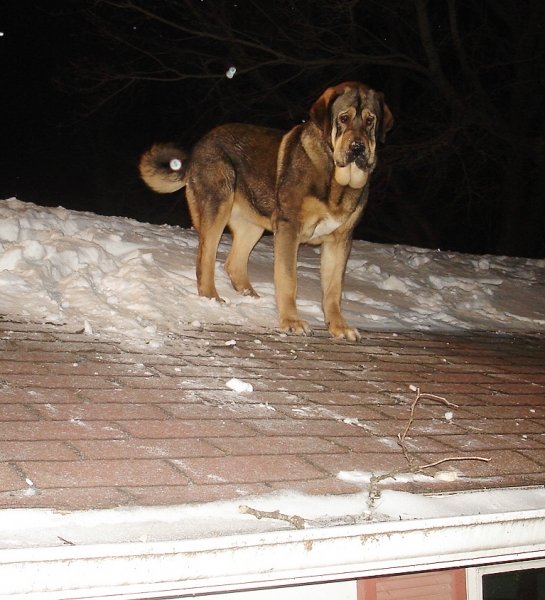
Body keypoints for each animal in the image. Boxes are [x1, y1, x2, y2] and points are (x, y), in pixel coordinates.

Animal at [139, 82, 392, 340]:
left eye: (370, 121)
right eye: (343, 118)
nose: (357, 148)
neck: (336, 177)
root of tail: (198, 147)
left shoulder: (340, 240)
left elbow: (333, 290)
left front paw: (339, 327)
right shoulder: (289, 228)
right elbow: (288, 279)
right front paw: (291, 321)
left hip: (252, 225)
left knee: (233, 262)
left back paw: (251, 296)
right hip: (217, 207)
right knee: (205, 260)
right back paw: (212, 298)